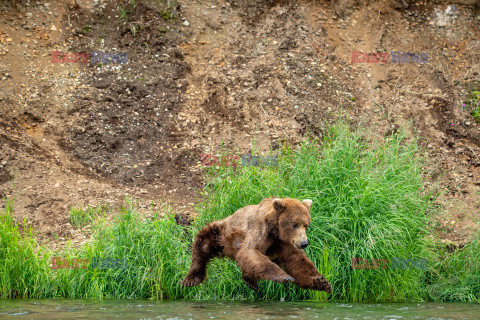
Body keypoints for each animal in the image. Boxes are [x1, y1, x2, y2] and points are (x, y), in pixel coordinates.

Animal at [182, 196, 332, 292]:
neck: (275, 231)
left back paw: (251, 282)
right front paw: (284, 276)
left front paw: (321, 282)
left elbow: (298, 261)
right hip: (220, 233)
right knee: (202, 245)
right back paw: (191, 279)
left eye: (306, 224)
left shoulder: (285, 243)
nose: (304, 243)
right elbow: (251, 251)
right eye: (294, 224)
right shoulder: (259, 229)